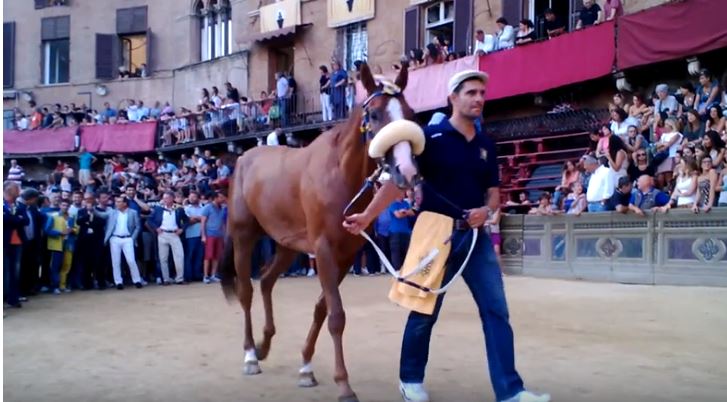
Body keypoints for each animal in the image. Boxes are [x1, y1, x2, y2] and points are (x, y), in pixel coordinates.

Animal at [219, 62, 421, 402]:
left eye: (410, 112)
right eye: (374, 114)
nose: (407, 171)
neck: (339, 173)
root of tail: (245, 157)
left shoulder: (346, 254)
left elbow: (322, 309)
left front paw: (305, 366)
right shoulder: (324, 249)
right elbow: (336, 315)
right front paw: (343, 384)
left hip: (287, 244)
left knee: (267, 280)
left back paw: (264, 345)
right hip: (244, 236)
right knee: (246, 290)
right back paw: (249, 355)